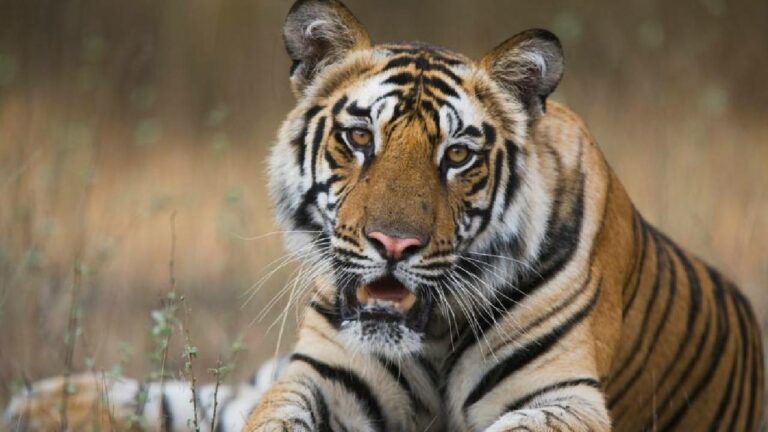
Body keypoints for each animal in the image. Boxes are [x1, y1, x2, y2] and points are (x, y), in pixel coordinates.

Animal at [4, 0, 765, 431]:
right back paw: (38, 402)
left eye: (457, 155)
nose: (393, 244)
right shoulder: (323, 374)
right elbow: (266, 413)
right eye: (360, 137)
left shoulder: (563, 396)